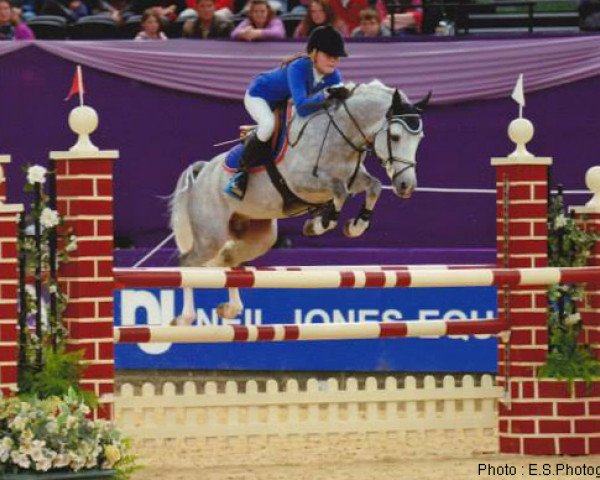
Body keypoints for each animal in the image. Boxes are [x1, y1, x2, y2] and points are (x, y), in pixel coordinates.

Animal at [171, 80, 428, 322]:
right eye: (395, 137)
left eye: (420, 139)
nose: (406, 186)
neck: (340, 135)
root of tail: (202, 172)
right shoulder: (301, 182)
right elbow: (339, 191)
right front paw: (320, 223)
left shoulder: (354, 179)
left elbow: (373, 187)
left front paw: (355, 226)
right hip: (210, 236)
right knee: (188, 263)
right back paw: (186, 317)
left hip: (258, 236)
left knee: (226, 259)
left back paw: (230, 308)